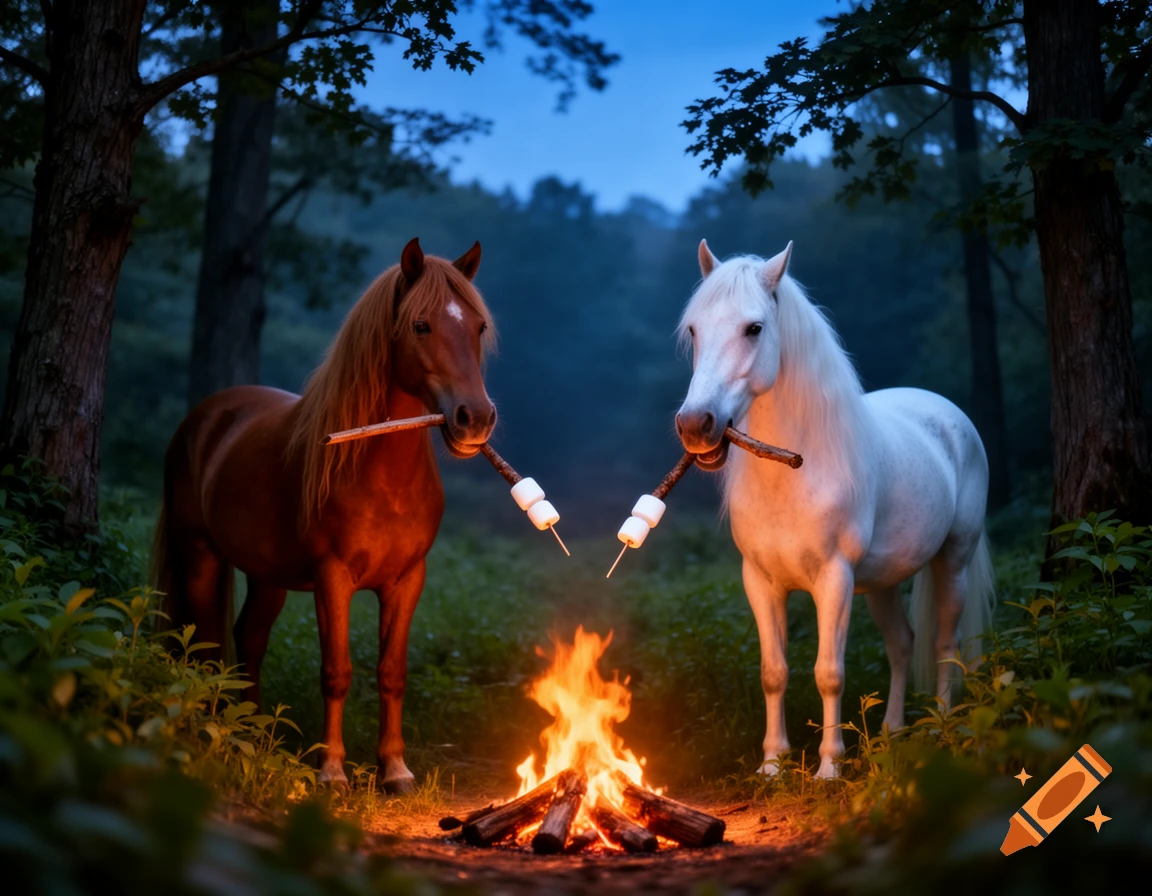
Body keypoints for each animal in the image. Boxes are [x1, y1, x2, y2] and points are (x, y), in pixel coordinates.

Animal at [150, 238, 496, 792]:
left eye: (479, 327)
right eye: (421, 325)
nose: (476, 419)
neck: (381, 472)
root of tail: (206, 416)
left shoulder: (407, 580)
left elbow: (391, 672)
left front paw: (395, 770)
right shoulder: (332, 577)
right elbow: (337, 671)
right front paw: (331, 771)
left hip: (266, 575)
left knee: (249, 638)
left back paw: (254, 733)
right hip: (200, 555)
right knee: (205, 644)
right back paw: (209, 726)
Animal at [674, 239, 995, 779]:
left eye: (754, 328)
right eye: (695, 329)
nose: (697, 426)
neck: (792, 474)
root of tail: (949, 414)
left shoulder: (834, 580)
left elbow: (829, 673)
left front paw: (829, 767)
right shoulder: (760, 582)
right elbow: (774, 671)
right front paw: (773, 763)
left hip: (953, 560)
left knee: (944, 644)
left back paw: (941, 728)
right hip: (883, 583)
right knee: (902, 643)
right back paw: (891, 733)